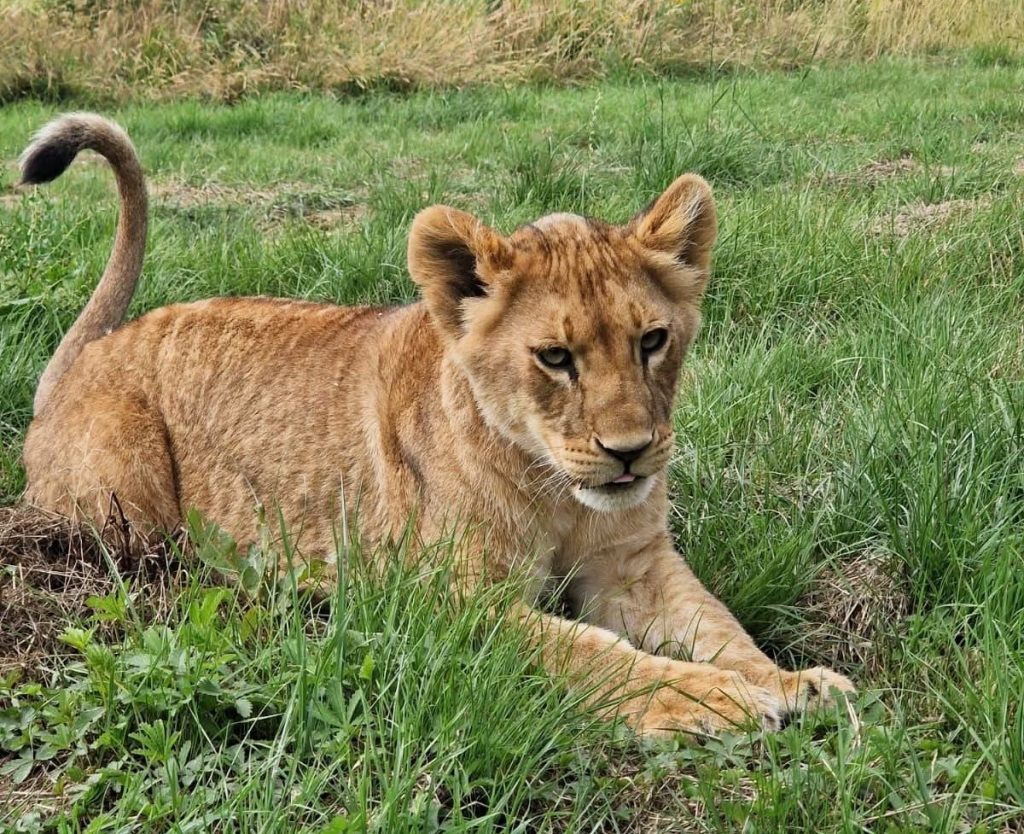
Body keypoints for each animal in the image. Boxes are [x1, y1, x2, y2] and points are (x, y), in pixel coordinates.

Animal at [19, 114, 854, 737]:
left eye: (652, 341)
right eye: (556, 358)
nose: (631, 455)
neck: (556, 492)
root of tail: (89, 351)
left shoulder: (633, 565)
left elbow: (720, 626)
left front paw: (797, 683)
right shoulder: (445, 604)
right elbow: (593, 653)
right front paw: (711, 700)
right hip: (128, 510)